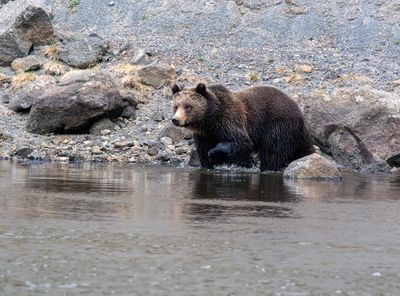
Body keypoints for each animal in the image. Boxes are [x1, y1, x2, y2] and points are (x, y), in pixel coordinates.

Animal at [170, 83, 314, 171]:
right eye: (176, 106)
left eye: (188, 106)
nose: (175, 120)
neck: (209, 119)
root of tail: (299, 109)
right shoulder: (204, 134)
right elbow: (203, 151)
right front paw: (208, 163)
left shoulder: (228, 119)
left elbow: (241, 141)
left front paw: (213, 154)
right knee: (303, 147)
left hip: (278, 125)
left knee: (273, 151)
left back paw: (268, 167)